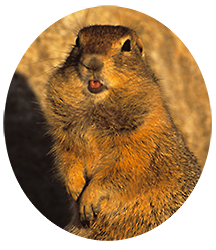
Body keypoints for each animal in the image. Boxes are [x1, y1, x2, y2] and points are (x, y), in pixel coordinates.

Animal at [43, 24, 201, 240]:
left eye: (127, 45)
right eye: (77, 41)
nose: (92, 62)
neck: (95, 112)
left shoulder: (139, 149)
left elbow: (117, 174)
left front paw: (87, 201)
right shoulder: (66, 142)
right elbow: (67, 162)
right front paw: (76, 190)